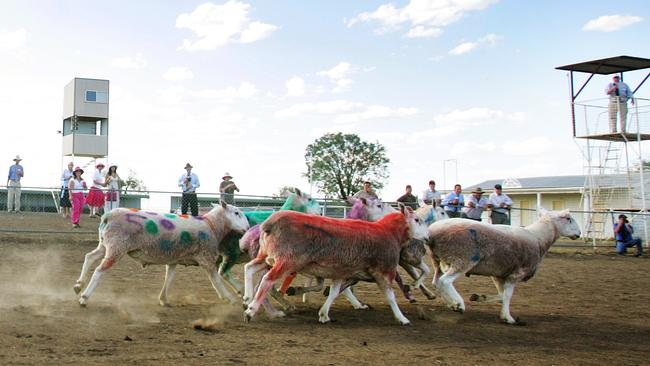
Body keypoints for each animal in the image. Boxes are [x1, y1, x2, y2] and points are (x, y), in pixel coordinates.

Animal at [240, 203, 428, 326]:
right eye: (417, 219)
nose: (427, 237)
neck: (391, 233)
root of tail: (268, 224)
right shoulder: (384, 271)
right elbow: (391, 297)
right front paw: (402, 318)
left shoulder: (341, 272)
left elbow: (334, 292)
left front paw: (324, 314)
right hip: (286, 261)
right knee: (267, 280)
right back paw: (251, 310)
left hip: (267, 257)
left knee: (249, 268)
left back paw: (247, 298)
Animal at [422, 207, 580, 324]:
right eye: (568, 218)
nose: (579, 233)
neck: (539, 238)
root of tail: (431, 233)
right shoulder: (516, 273)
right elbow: (508, 295)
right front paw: (507, 317)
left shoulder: (498, 274)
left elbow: (501, 295)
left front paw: (479, 297)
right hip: (463, 259)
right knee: (445, 281)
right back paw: (459, 304)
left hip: (439, 261)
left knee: (437, 282)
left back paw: (451, 303)